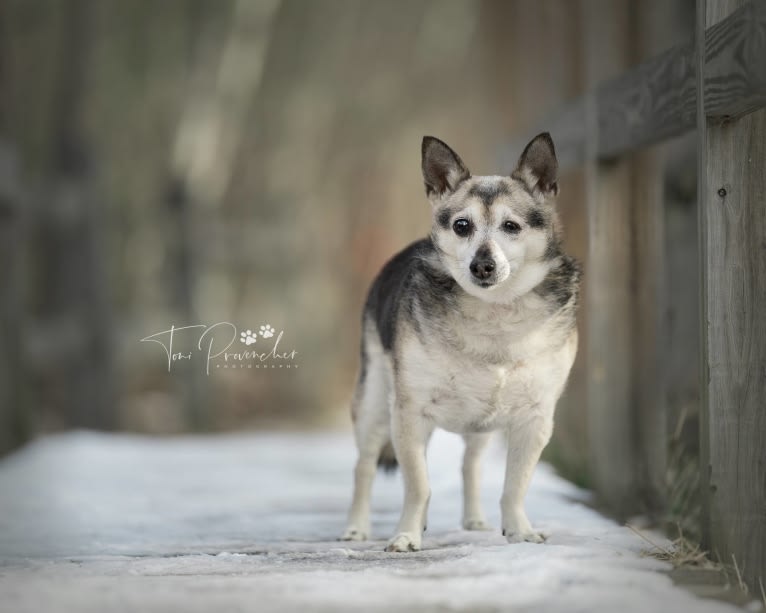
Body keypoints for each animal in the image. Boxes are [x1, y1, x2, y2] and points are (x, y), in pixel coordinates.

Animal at [342, 133, 584, 548]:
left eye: (511, 226)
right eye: (461, 225)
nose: (482, 265)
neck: (494, 311)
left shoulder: (535, 418)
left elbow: (515, 485)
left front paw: (519, 531)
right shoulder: (410, 411)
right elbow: (418, 486)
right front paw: (406, 535)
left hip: (479, 427)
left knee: (470, 465)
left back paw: (474, 520)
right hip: (375, 403)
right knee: (364, 466)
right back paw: (357, 527)